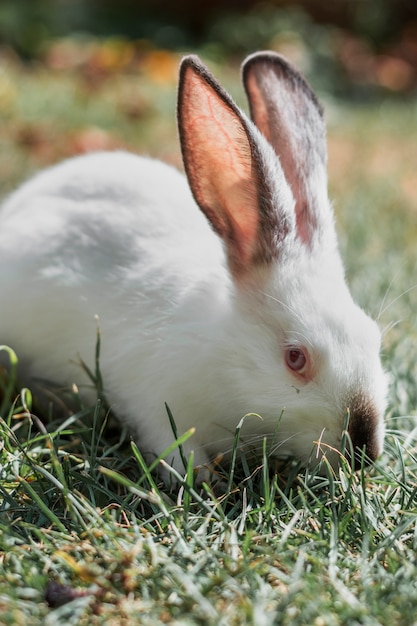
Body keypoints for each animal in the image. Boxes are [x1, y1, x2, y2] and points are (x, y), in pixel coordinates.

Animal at [0, 52, 386, 472]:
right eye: (295, 358)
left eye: (374, 337)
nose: (365, 450)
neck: (223, 350)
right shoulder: (154, 404)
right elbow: (172, 446)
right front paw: (199, 476)